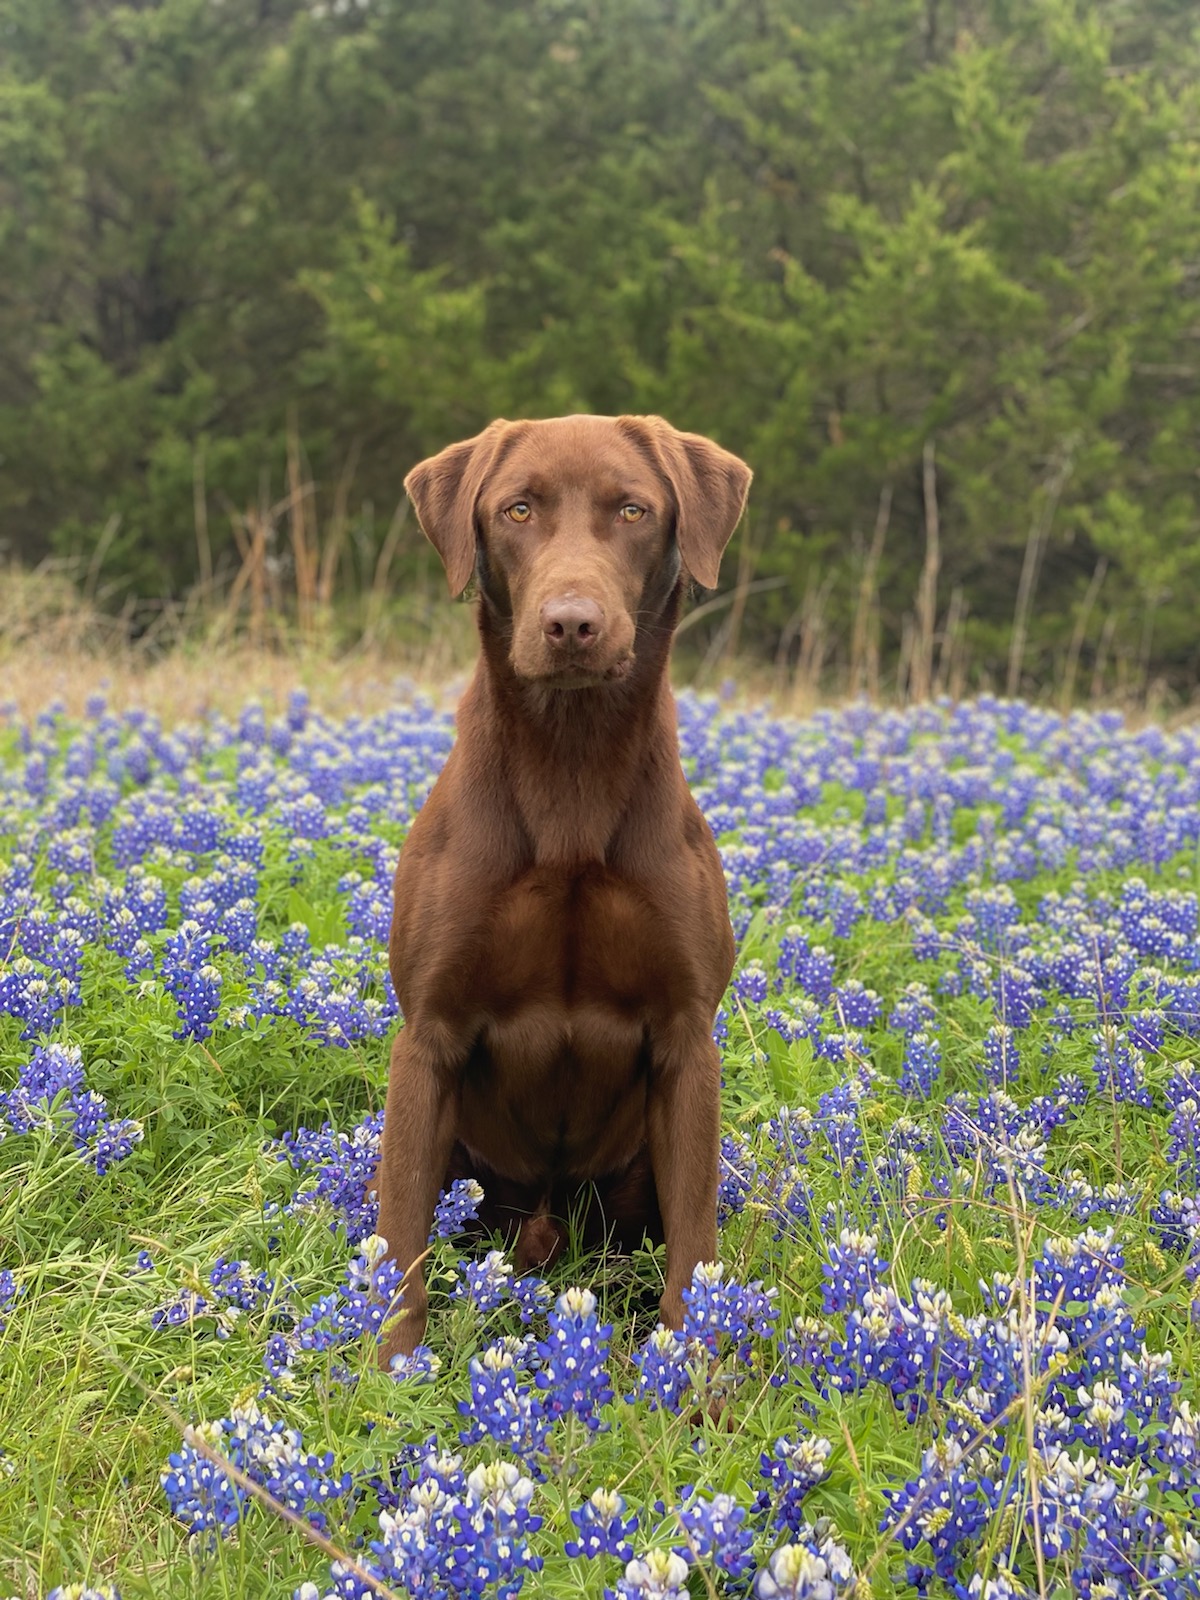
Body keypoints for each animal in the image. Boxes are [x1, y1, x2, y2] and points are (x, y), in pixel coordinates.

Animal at [376, 412, 752, 1363]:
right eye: (517, 509)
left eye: (633, 509)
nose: (571, 622)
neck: (572, 768)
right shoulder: (428, 1036)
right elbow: (399, 1247)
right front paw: (387, 1377)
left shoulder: (686, 1040)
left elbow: (694, 1258)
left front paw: (694, 1384)